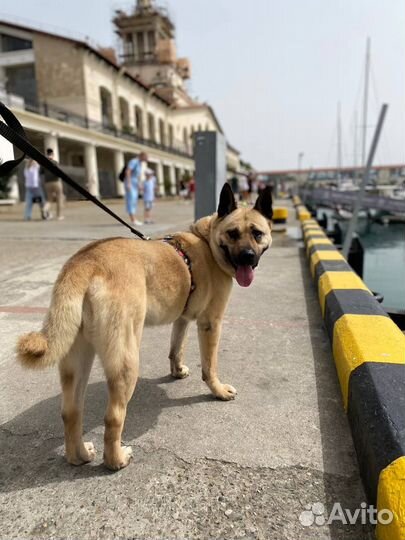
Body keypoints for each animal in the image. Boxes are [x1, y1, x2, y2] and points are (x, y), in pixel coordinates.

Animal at [17, 184, 274, 470]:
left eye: (257, 234)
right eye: (233, 233)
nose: (247, 257)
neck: (207, 241)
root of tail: (84, 263)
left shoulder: (182, 319)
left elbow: (176, 348)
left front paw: (177, 370)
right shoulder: (210, 324)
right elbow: (209, 367)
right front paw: (217, 390)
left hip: (77, 359)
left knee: (70, 411)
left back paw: (79, 455)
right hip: (127, 361)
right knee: (113, 417)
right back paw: (116, 460)